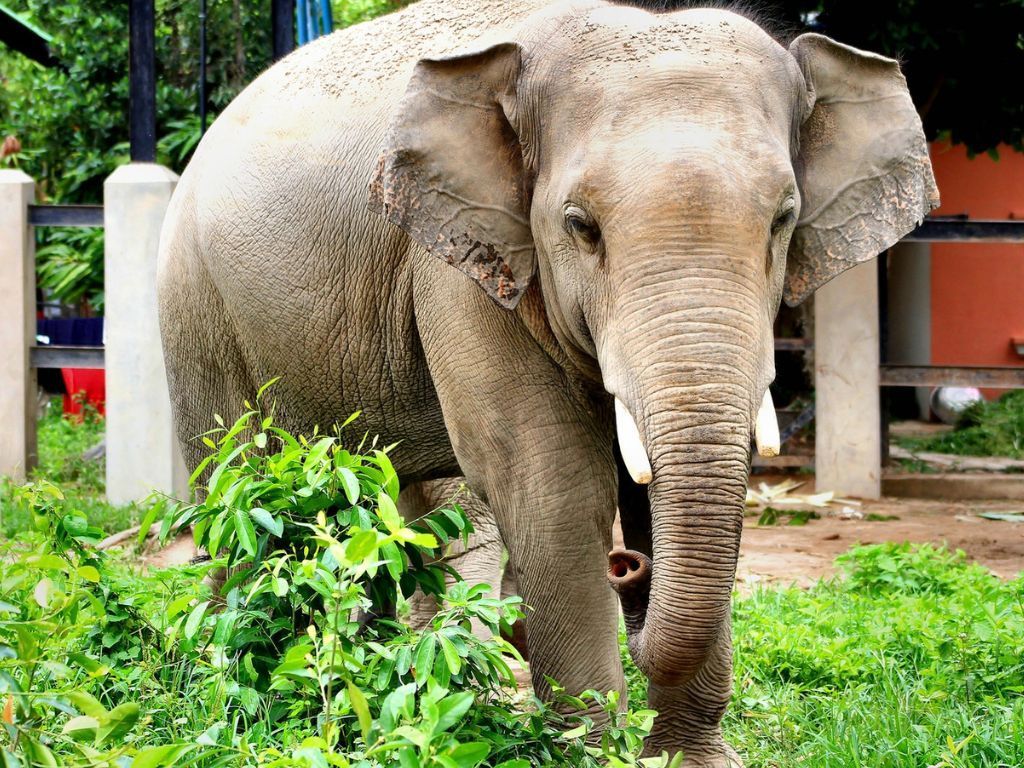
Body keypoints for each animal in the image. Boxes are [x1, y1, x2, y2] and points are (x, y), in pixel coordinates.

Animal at [157, 0, 937, 765]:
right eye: (580, 226)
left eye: (782, 219)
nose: (628, 568)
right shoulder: (461, 264)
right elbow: (553, 484)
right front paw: (593, 749)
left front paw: (690, 760)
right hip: (197, 314)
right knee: (237, 494)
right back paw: (233, 694)